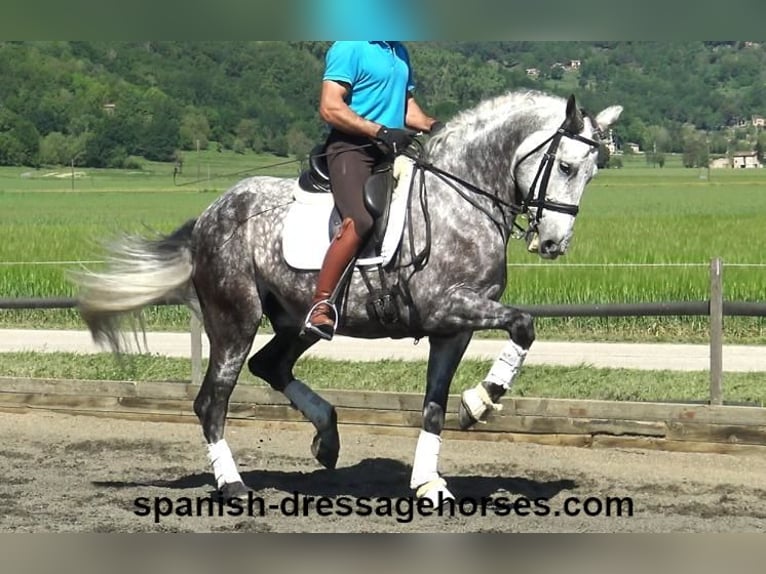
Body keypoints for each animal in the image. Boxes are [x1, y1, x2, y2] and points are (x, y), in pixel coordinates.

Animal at [72, 89, 624, 504]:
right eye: (568, 166)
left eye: (593, 172)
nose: (553, 244)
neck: (462, 198)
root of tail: (211, 213)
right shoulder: (445, 306)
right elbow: (525, 324)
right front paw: (482, 401)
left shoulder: (454, 329)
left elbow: (434, 404)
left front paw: (431, 479)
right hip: (234, 319)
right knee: (212, 400)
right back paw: (233, 485)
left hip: (298, 320)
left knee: (271, 365)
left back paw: (328, 437)